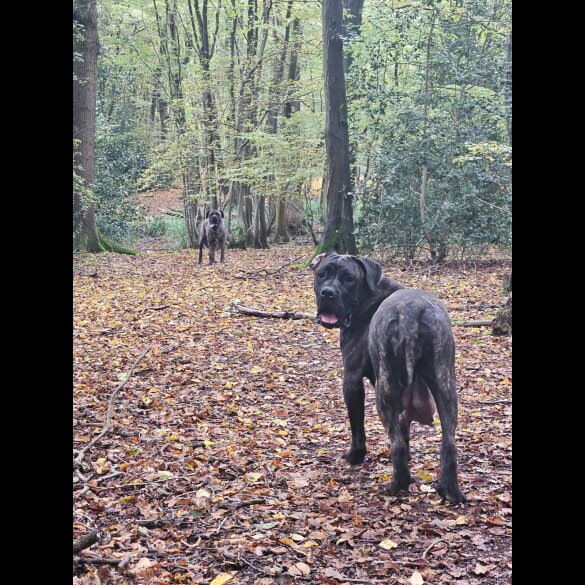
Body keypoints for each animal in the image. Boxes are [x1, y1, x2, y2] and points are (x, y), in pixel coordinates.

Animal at [310, 251, 466, 502]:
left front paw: (355, 456)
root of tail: (411, 314)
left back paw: (397, 485)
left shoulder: (352, 380)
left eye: (348, 278)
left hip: (385, 391)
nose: (328, 292)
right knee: (448, 444)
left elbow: (357, 426)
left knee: (397, 445)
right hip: (445, 385)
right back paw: (449, 490)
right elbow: (404, 429)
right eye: (322, 274)